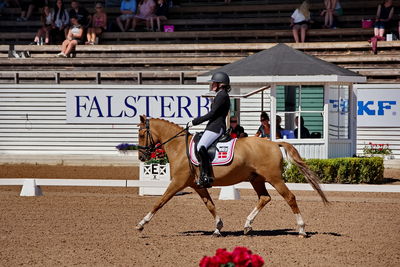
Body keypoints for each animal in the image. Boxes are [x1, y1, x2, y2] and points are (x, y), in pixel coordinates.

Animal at [136, 115, 330, 237]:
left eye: (141, 134)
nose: (142, 157)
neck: (178, 147)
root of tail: (274, 143)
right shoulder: (197, 185)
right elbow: (210, 205)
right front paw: (218, 228)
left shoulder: (177, 182)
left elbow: (160, 202)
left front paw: (141, 224)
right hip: (256, 179)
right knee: (264, 198)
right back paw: (247, 225)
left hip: (274, 179)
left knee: (289, 197)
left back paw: (302, 230)